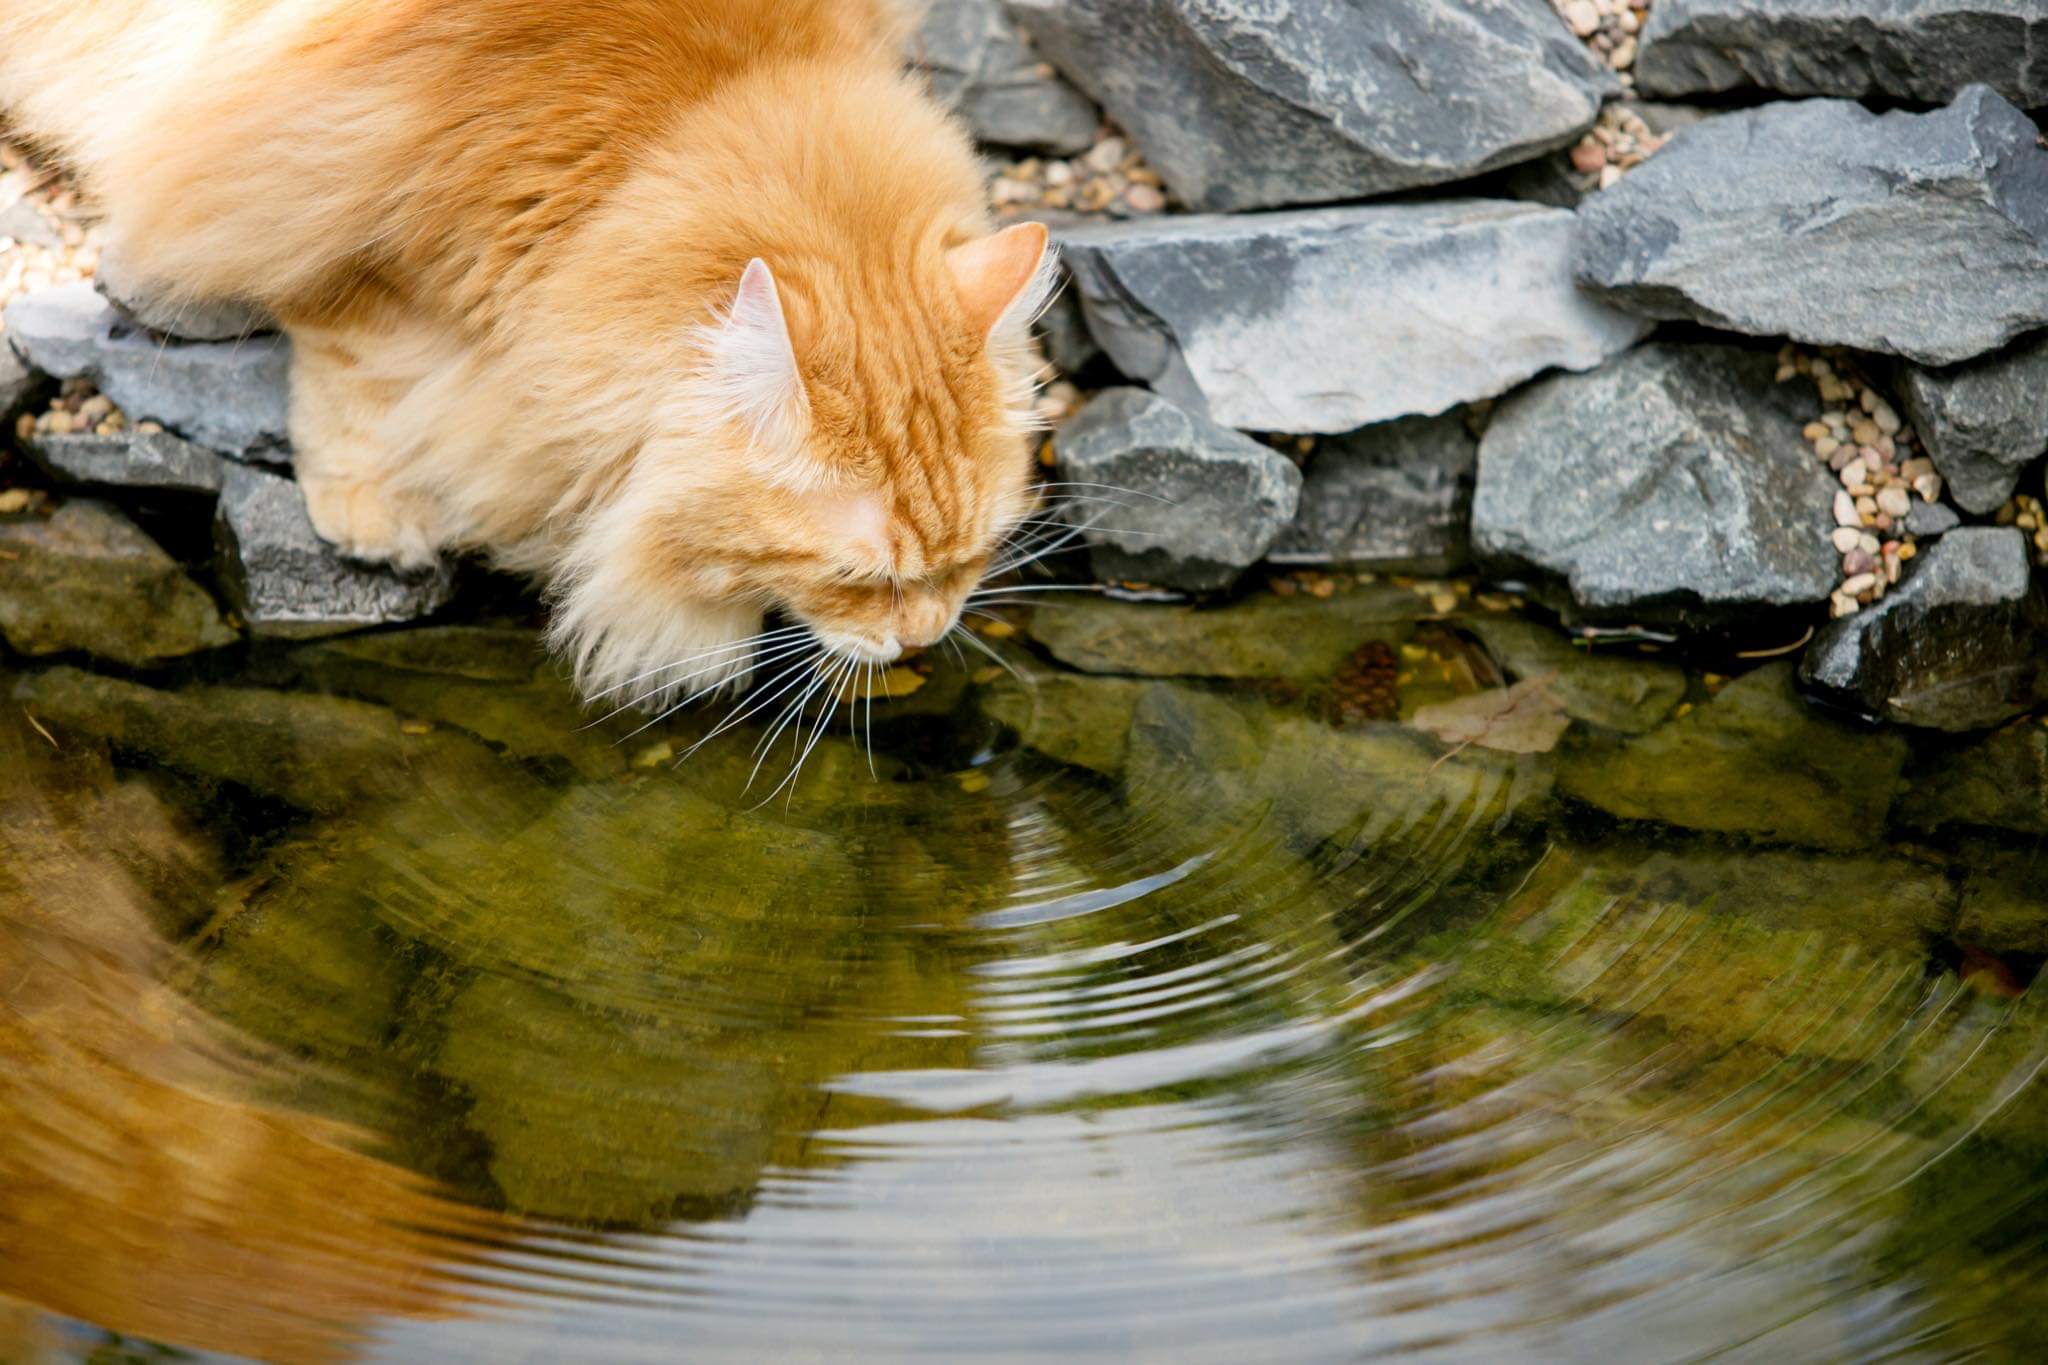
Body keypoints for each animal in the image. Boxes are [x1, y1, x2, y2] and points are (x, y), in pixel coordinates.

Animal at [0, 5, 1056, 716]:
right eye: (863, 578)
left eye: (970, 559)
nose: (928, 634)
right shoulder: (336, 175)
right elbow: (353, 351)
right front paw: (370, 505)